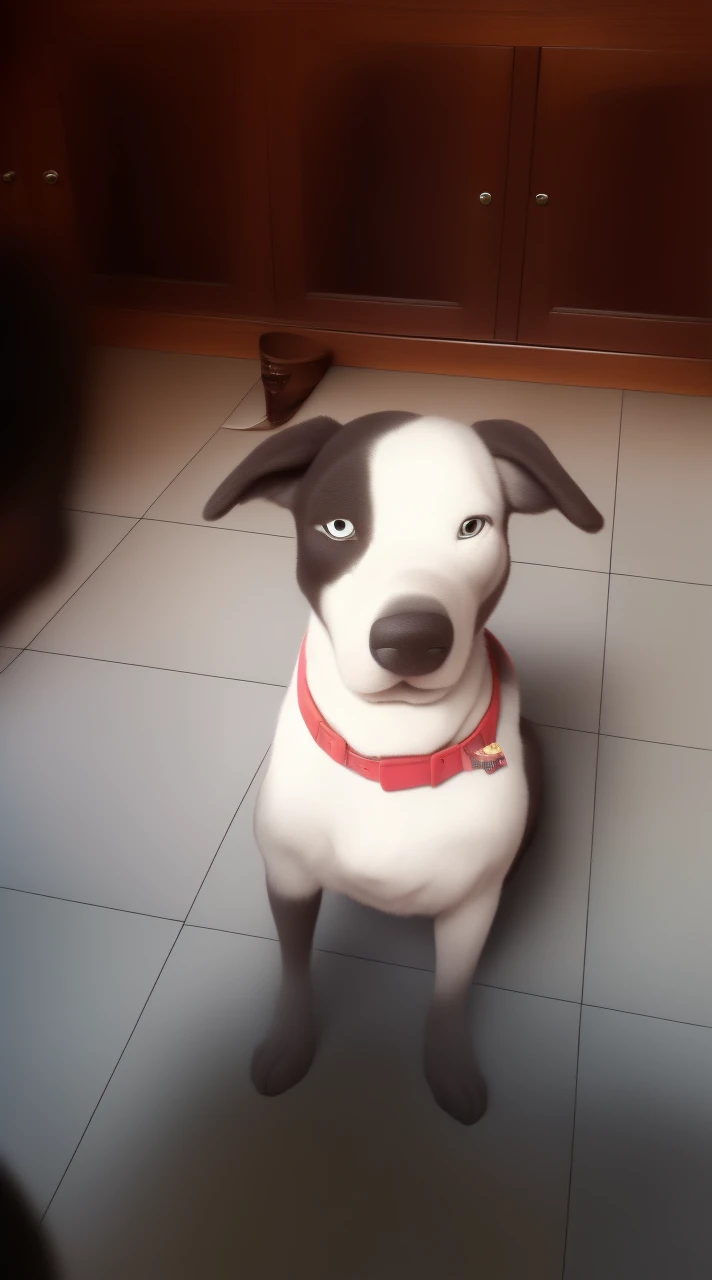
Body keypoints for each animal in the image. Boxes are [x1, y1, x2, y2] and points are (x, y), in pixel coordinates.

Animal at [203, 414, 604, 1126]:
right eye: (340, 527)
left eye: (472, 527)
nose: (412, 638)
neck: (394, 750)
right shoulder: (290, 880)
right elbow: (295, 968)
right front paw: (288, 1043)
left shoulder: (471, 907)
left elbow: (450, 993)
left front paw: (449, 1065)